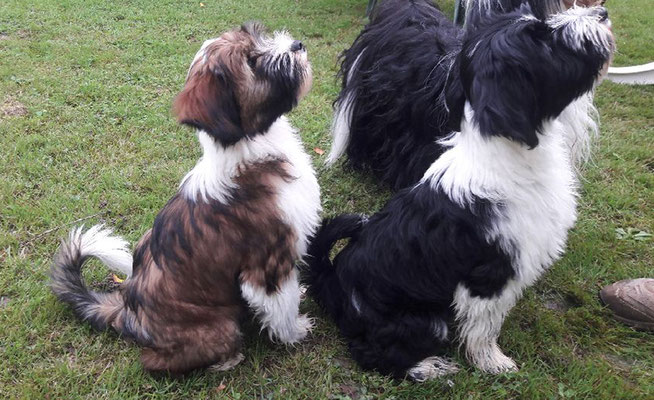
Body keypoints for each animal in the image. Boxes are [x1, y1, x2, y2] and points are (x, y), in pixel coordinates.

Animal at [50, 23, 322, 374]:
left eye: (258, 35)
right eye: (252, 61)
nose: (297, 45)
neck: (248, 149)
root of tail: (128, 314)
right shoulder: (268, 265)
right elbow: (282, 305)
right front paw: (295, 331)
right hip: (219, 327)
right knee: (156, 362)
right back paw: (226, 360)